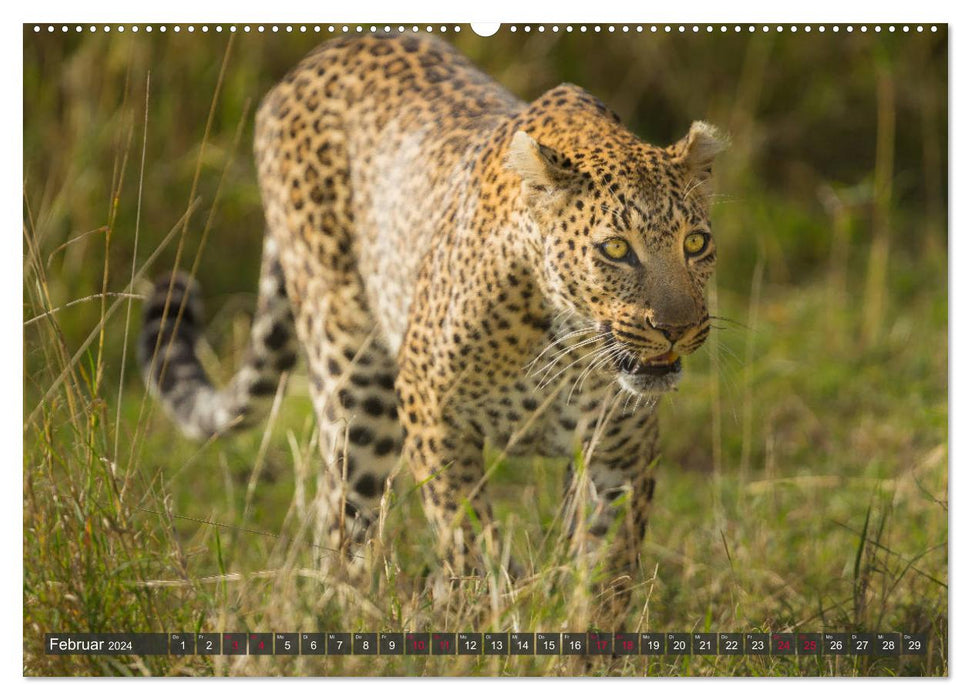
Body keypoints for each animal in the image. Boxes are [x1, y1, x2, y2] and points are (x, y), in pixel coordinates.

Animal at [140, 32, 724, 600]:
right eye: (616, 249)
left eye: (695, 243)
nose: (677, 330)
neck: (566, 341)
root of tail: (314, 57)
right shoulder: (433, 412)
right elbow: (468, 538)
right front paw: (484, 606)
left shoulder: (618, 449)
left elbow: (607, 568)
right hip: (355, 381)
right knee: (343, 516)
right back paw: (349, 608)